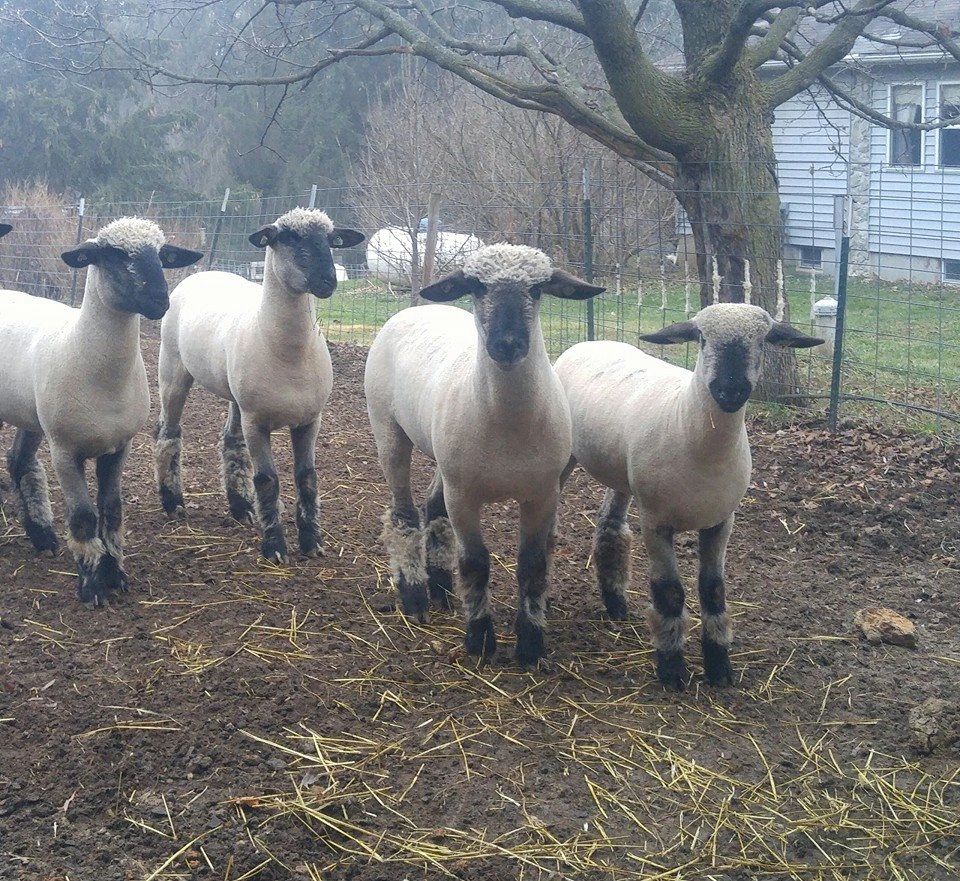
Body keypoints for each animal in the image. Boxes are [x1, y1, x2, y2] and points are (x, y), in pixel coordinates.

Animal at [0, 217, 203, 605]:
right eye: (112, 255)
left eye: (163, 255)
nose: (160, 300)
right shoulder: (64, 451)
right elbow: (83, 517)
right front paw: (91, 586)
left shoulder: (119, 446)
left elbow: (111, 509)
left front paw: (115, 574)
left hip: (31, 415)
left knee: (18, 460)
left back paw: (42, 537)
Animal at [154, 208, 364, 563]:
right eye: (286, 238)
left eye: (332, 240)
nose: (327, 281)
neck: (289, 354)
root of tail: (204, 272)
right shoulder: (257, 422)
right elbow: (267, 480)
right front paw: (274, 546)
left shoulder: (310, 420)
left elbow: (307, 477)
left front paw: (312, 541)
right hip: (172, 368)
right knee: (168, 434)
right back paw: (174, 503)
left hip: (237, 395)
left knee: (230, 440)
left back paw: (240, 507)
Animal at [364, 243, 604, 664]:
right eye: (476, 287)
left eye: (537, 290)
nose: (507, 344)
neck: (507, 424)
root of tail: (418, 308)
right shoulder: (465, 495)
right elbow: (475, 562)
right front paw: (480, 640)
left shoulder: (543, 493)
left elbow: (533, 565)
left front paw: (530, 644)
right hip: (388, 429)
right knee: (403, 514)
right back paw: (415, 596)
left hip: (446, 457)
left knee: (432, 506)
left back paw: (442, 590)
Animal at [554, 304, 822, 689]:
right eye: (701, 338)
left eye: (763, 341)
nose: (730, 390)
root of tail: (588, 343)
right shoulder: (655, 522)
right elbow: (670, 592)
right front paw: (671, 667)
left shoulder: (721, 521)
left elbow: (713, 590)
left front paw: (719, 665)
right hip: (564, 458)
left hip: (622, 474)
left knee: (610, 526)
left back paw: (616, 604)